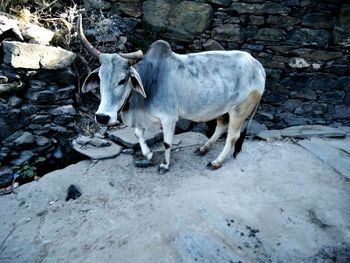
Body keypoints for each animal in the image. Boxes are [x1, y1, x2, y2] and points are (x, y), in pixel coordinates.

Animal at [78, 14, 266, 175]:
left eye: (122, 80)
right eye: (100, 78)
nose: (102, 117)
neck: (150, 79)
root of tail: (257, 65)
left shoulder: (169, 118)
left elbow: (167, 143)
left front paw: (164, 165)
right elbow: (138, 134)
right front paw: (148, 155)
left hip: (240, 110)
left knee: (232, 136)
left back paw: (216, 162)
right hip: (223, 109)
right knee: (221, 127)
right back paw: (203, 149)